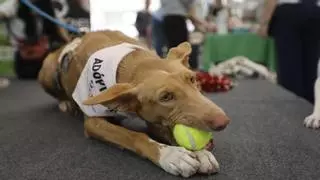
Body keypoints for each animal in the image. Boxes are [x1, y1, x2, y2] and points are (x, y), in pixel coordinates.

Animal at [38, 29, 230, 177]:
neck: (132, 62)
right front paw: (170, 155)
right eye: (165, 97)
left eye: (193, 79)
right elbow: (133, 136)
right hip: (47, 72)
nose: (223, 121)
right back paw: (66, 103)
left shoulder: (155, 121)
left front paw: (201, 153)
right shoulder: (93, 122)